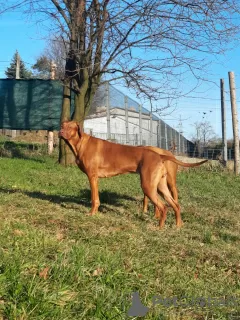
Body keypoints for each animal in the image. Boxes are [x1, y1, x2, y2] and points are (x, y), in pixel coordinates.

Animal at [59, 120, 205, 228]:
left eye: (71, 127)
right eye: (62, 125)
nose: (60, 132)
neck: (81, 143)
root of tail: (160, 155)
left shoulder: (92, 177)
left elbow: (94, 199)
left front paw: (92, 214)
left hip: (148, 186)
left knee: (163, 207)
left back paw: (159, 228)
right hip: (160, 186)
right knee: (175, 205)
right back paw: (178, 225)